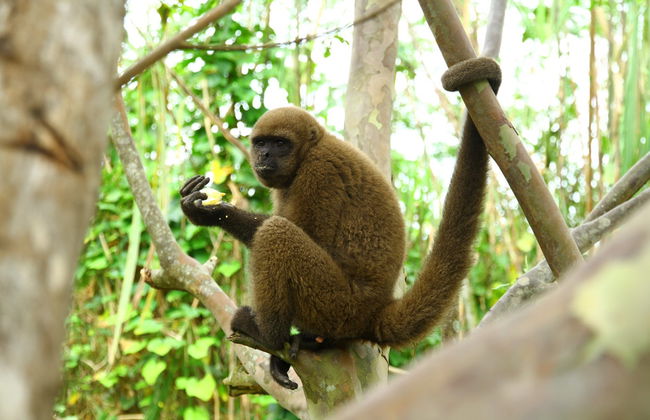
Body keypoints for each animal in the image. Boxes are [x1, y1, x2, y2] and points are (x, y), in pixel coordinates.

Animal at [180, 57, 501, 390]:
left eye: (280, 143)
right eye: (260, 143)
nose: (265, 154)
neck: (313, 148)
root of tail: (372, 312)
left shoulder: (319, 173)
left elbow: (303, 231)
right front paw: (204, 210)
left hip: (335, 304)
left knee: (276, 233)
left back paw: (269, 334)